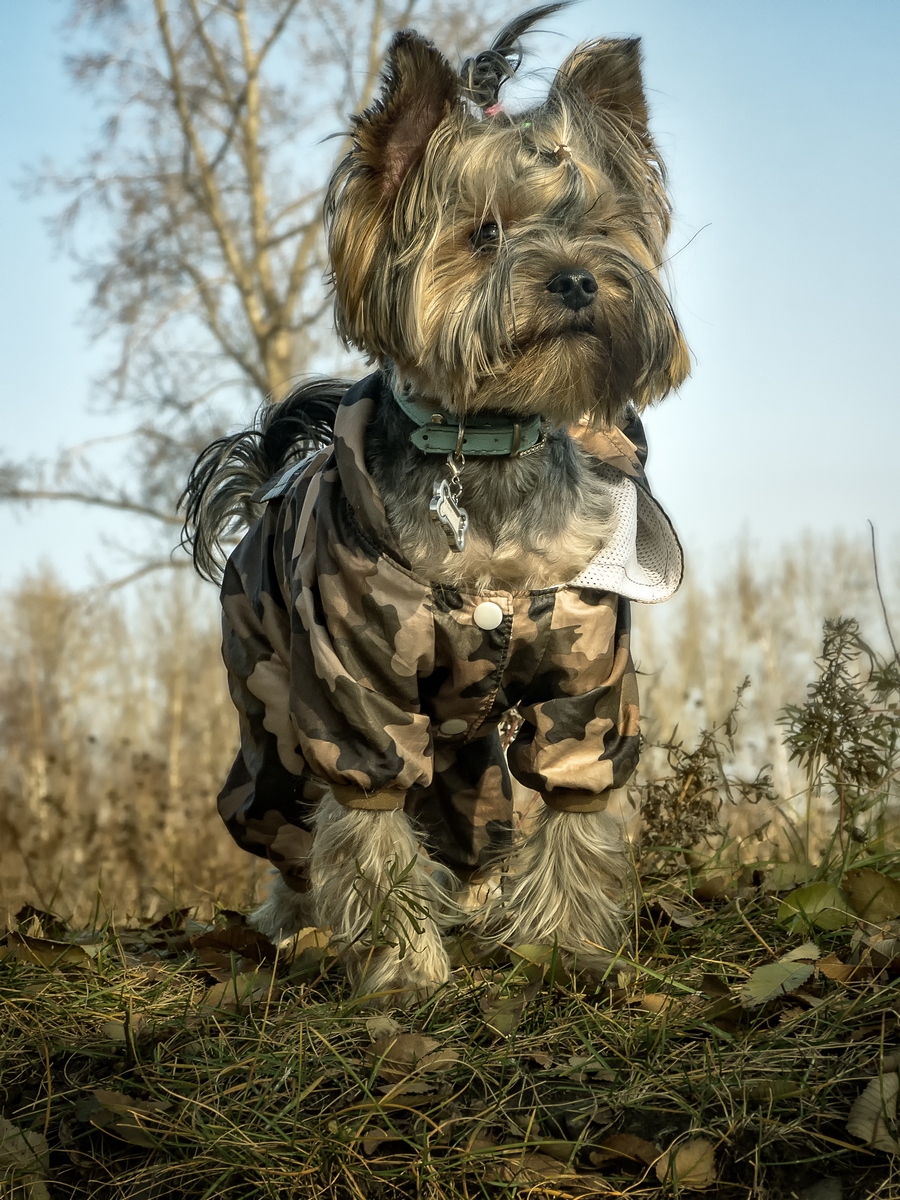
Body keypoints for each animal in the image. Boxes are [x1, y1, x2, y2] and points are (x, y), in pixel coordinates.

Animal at [184, 4, 691, 1003]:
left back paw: (480, 902)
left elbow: (575, 811)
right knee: (284, 823)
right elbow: (372, 829)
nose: (579, 278)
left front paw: (566, 950)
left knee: (470, 815)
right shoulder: (355, 701)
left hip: (467, 745)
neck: (487, 448)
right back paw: (295, 926)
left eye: (601, 225)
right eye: (485, 234)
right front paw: (404, 966)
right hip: (271, 711)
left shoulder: (585, 692)